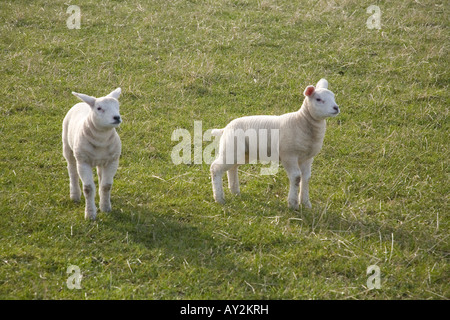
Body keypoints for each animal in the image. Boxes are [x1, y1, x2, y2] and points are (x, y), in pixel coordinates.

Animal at [61, 89, 122, 221]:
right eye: (99, 108)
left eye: (117, 106)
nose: (117, 117)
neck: (101, 140)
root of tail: (83, 103)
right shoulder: (83, 162)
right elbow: (88, 188)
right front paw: (90, 214)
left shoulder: (112, 160)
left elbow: (106, 185)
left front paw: (105, 207)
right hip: (68, 147)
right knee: (72, 170)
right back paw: (75, 195)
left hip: (101, 161)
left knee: (100, 175)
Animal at [209, 79, 340, 210]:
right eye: (318, 99)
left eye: (333, 96)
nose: (336, 108)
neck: (301, 121)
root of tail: (225, 128)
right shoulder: (288, 155)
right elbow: (296, 177)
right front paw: (293, 204)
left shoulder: (307, 158)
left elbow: (306, 177)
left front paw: (306, 203)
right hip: (231, 148)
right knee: (215, 167)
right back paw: (219, 198)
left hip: (242, 153)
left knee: (232, 167)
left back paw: (235, 192)